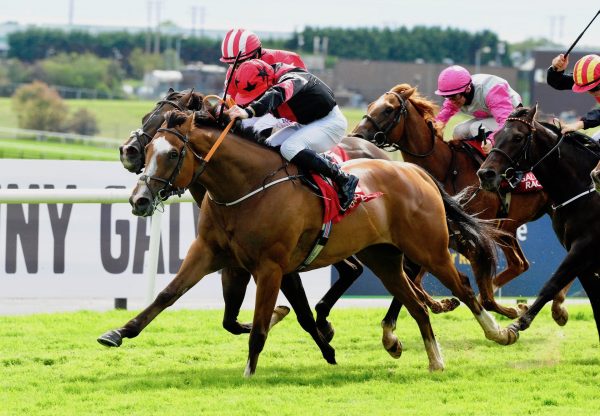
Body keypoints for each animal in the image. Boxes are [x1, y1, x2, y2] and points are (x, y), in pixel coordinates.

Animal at [99, 109, 516, 376]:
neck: (244, 187)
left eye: (171, 153)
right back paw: (431, 358)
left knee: (464, 289)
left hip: (429, 247)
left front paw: (250, 373)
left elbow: (262, 324)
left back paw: (500, 331)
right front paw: (117, 332)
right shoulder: (212, 254)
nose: (139, 200)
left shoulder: (271, 267)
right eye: (149, 151)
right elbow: (167, 296)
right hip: (383, 258)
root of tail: (415, 171)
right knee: (416, 305)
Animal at [352, 83, 584, 324]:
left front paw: (509, 309)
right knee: (521, 264)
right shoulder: (440, 236)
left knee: (535, 262)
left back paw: (554, 306)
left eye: (388, 109)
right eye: (370, 105)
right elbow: (417, 279)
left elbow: (482, 293)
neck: (446, 168)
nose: (357, 134)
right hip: (510, 228)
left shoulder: (474, 236)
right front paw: (442, 303)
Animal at [478, 105, 600, 342]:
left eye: (518, 137)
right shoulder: (580, 253)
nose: (485, 173)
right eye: (496, 135)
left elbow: (551, 284)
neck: (582, 187)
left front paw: (516, 324)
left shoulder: (584, 246)